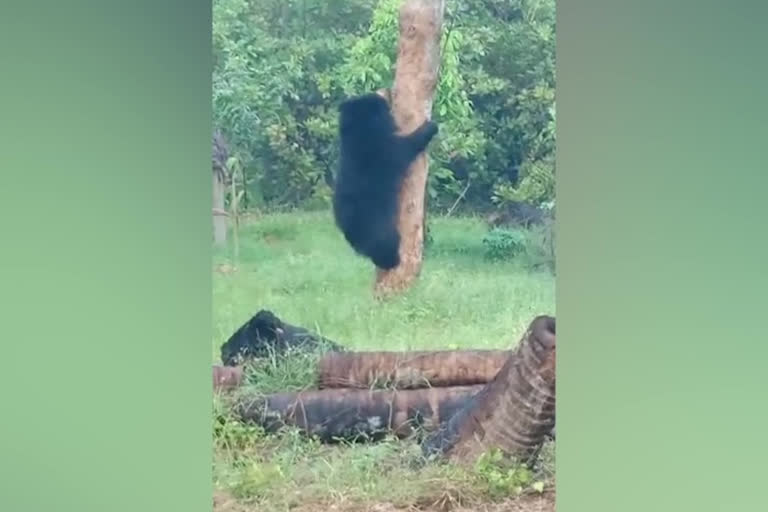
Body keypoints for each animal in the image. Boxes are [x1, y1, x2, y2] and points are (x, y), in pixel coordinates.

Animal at [330, 92, 438, 270]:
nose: (383, 98)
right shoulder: (381, 150)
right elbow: (404, 150)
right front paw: (430, 127)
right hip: (375, 221)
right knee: (384, 242)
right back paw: (391, 260)